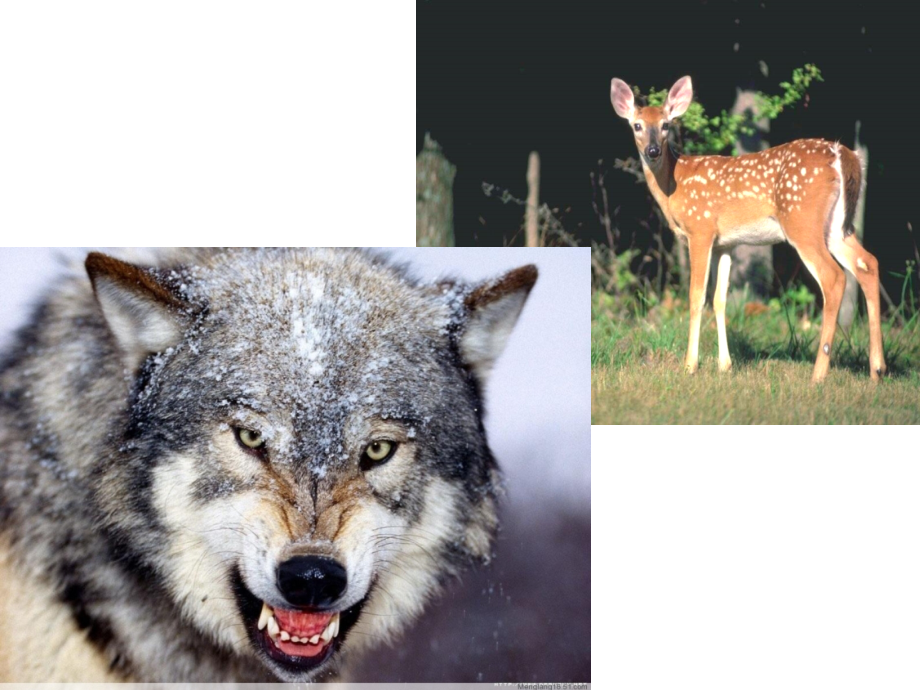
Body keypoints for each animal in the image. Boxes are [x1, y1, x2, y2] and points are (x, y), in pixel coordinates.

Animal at [610, 76, 885, 383]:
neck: (673, 185)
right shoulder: (726, 243)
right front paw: (725, 365)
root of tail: (843, 154)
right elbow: (720, 300)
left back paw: (818, 374)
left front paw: (690, 365)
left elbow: (696, 296)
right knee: (867, 263)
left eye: (666, 125)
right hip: (837, 226)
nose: (653, 151)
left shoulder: (700, 229)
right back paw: (877, 369)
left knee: (834, 277)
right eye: (637, 125)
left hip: (801, 221)